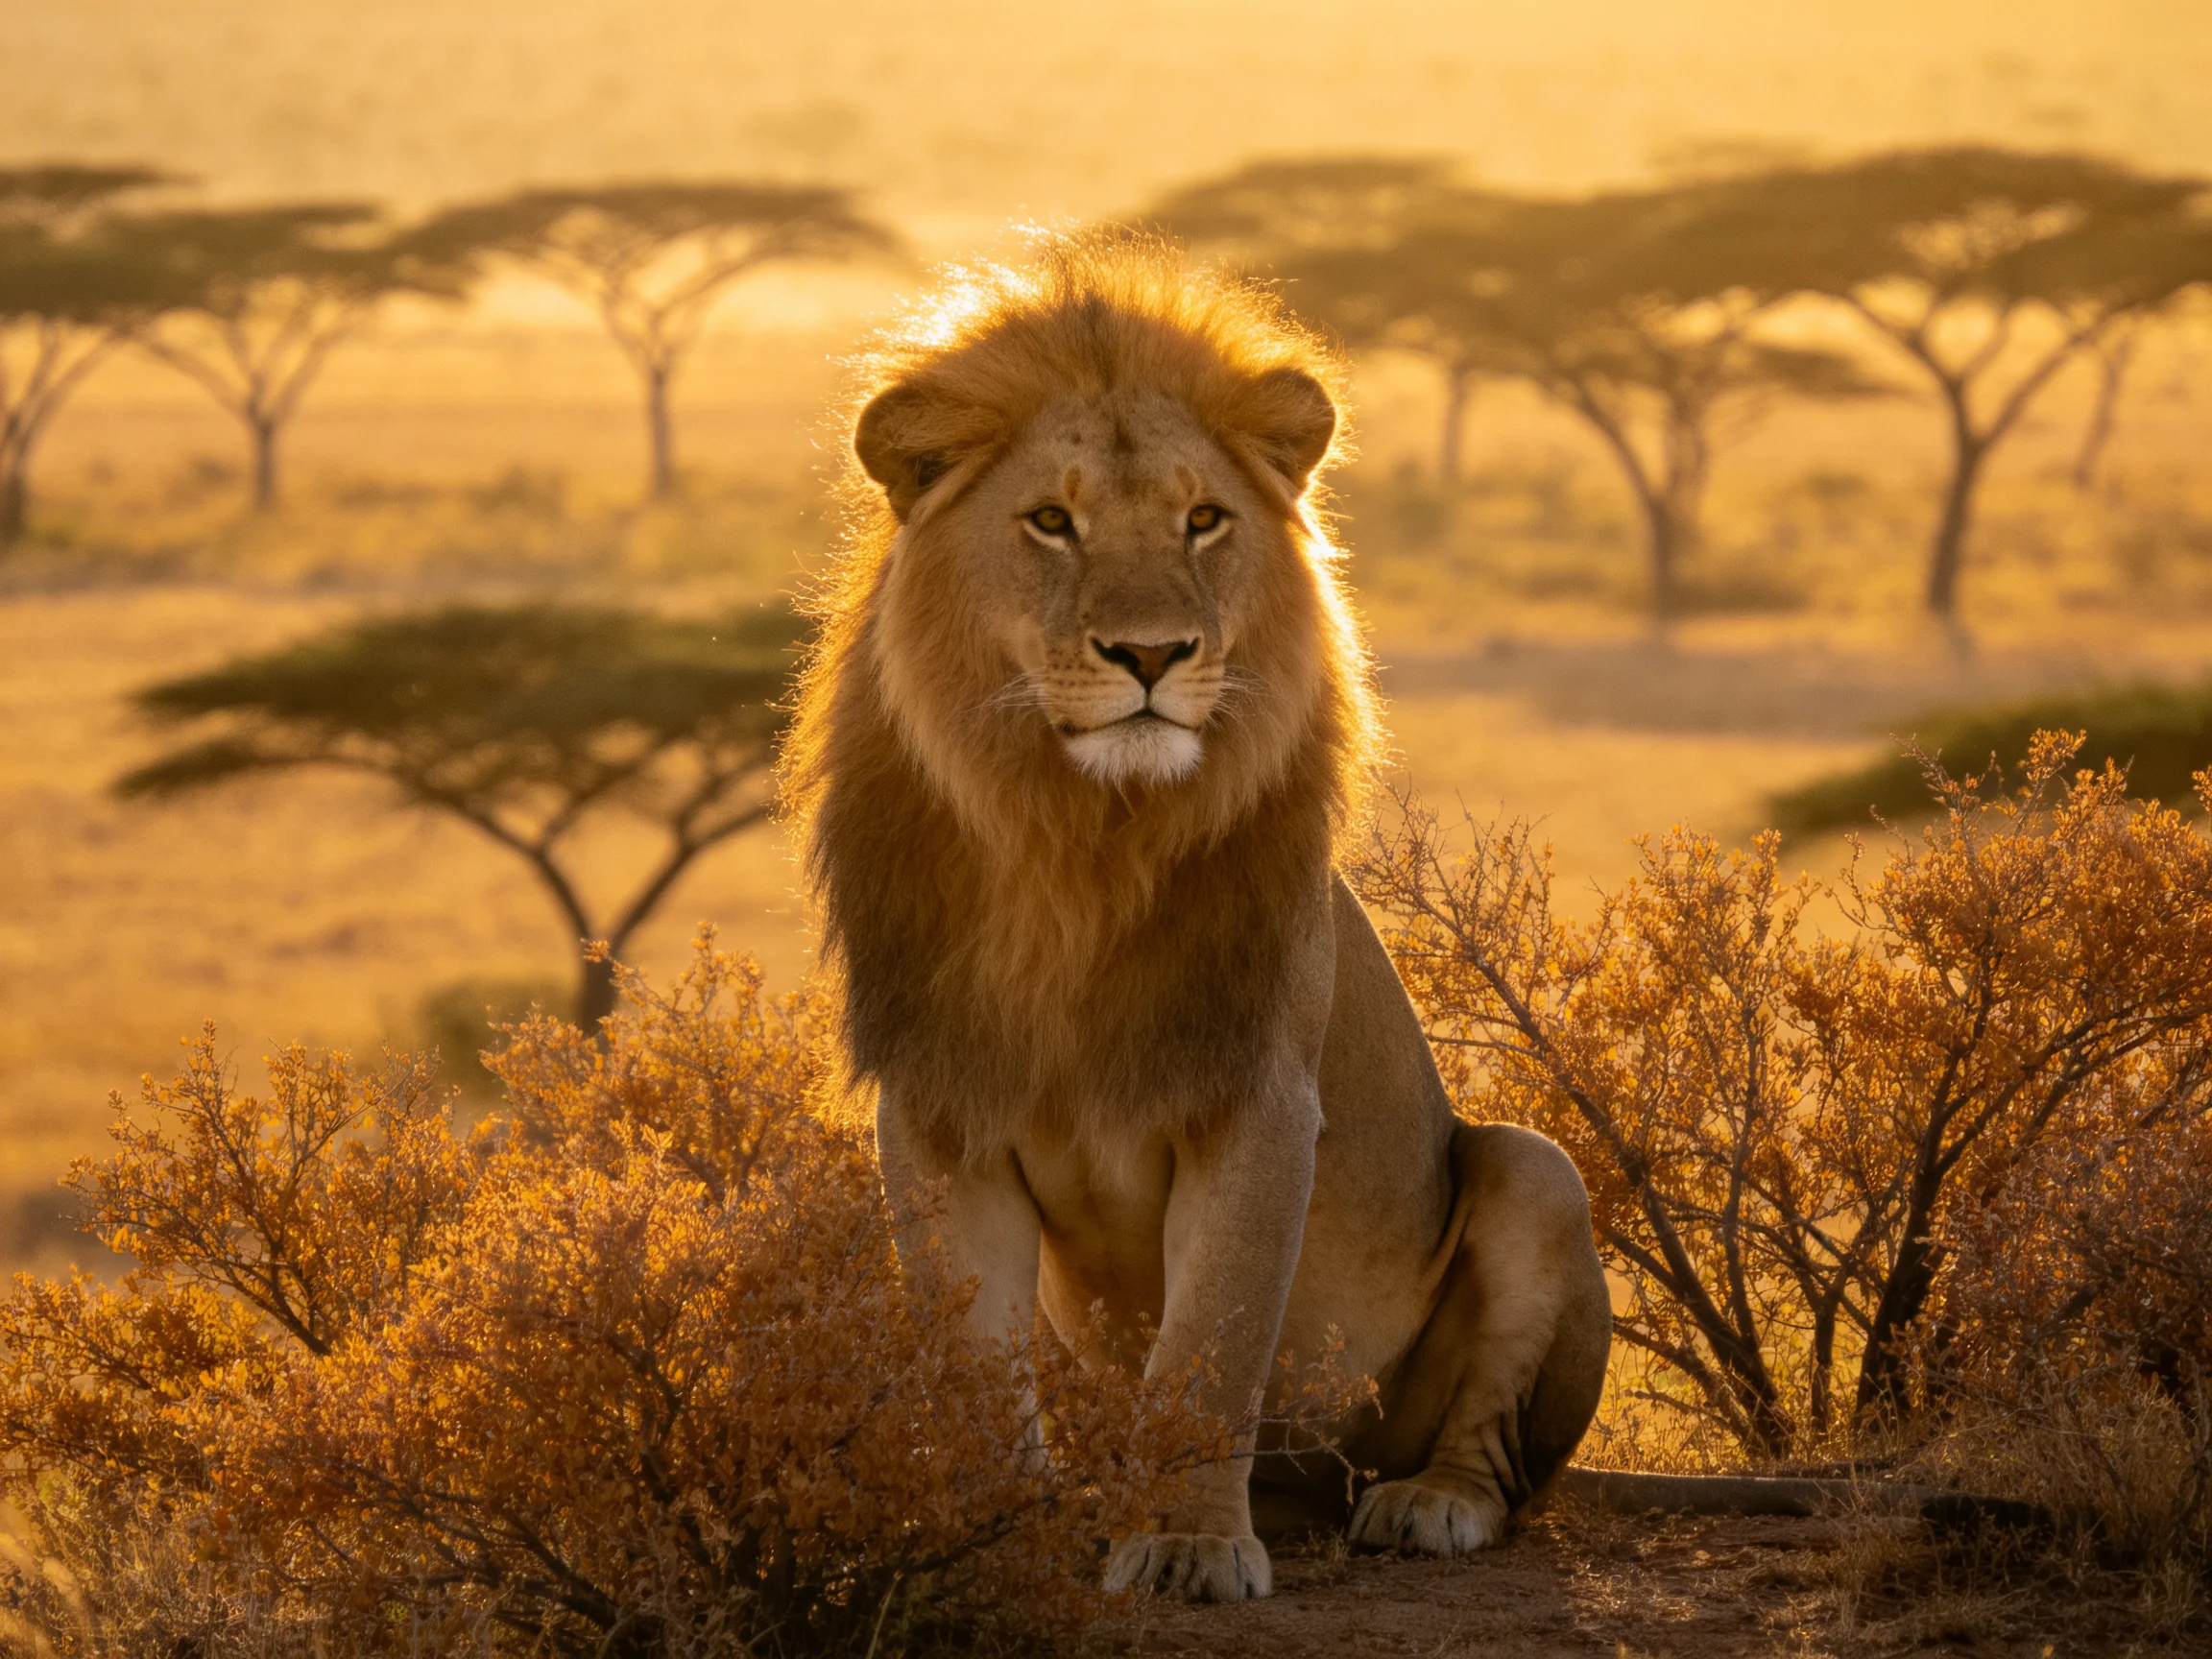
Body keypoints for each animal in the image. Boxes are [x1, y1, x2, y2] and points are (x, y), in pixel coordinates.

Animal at [787, 233, 1612, 1603]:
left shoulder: (1255, 1100)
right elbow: (973, 1359)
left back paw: (1426, 1504)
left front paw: (1183, 1542)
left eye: (1203, 520)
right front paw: (996, 1539)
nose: (1151, 654)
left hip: (1534, 1177)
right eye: (1052, 521)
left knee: (1494, 1452)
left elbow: (1211, 1345)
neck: (1079, 847)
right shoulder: (942, 1109)